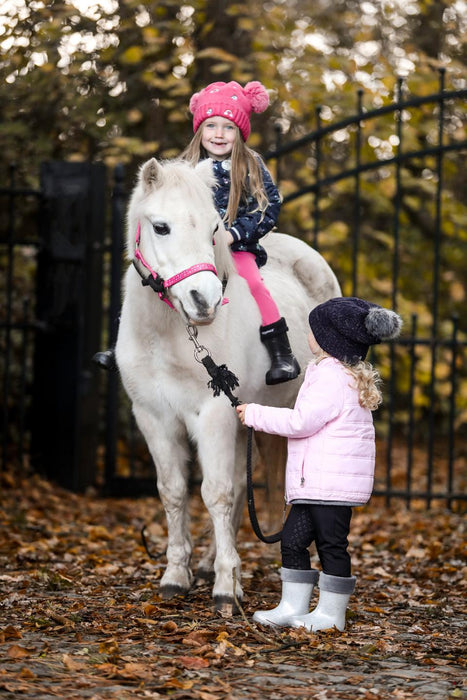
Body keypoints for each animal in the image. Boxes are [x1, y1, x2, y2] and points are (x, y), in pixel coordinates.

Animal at [114, 157, 340, 608]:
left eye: (214, 229)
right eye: (160, 227)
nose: (204, 301)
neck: (167, 336)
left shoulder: (214, 416)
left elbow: (216, 492)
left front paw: (224, 588)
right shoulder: (153, 418)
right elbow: (174, 491)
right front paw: (177, 575)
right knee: (237, 488)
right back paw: (208, 563)